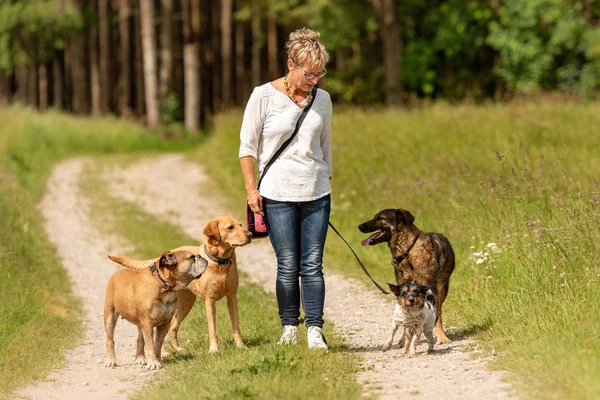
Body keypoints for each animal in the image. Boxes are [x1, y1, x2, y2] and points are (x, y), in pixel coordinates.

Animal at [109, 216, 252, 354]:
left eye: (241, 225)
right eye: (230, 227)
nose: (250, 234)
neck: (221, 264)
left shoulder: (232, 297)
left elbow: (236, 326)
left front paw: (241, 346)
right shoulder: (209, 301)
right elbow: (212, 329)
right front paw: (214, 349)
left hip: (186, 303)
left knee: (172, 327)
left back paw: (177, 349)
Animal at [358, 208, 452, 342]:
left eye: (380, 218)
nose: (359, 226)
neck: (407, 251)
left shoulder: (431, 288)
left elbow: (437, 316)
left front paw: (442, 337)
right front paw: (403, 338)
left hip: (442, 288)